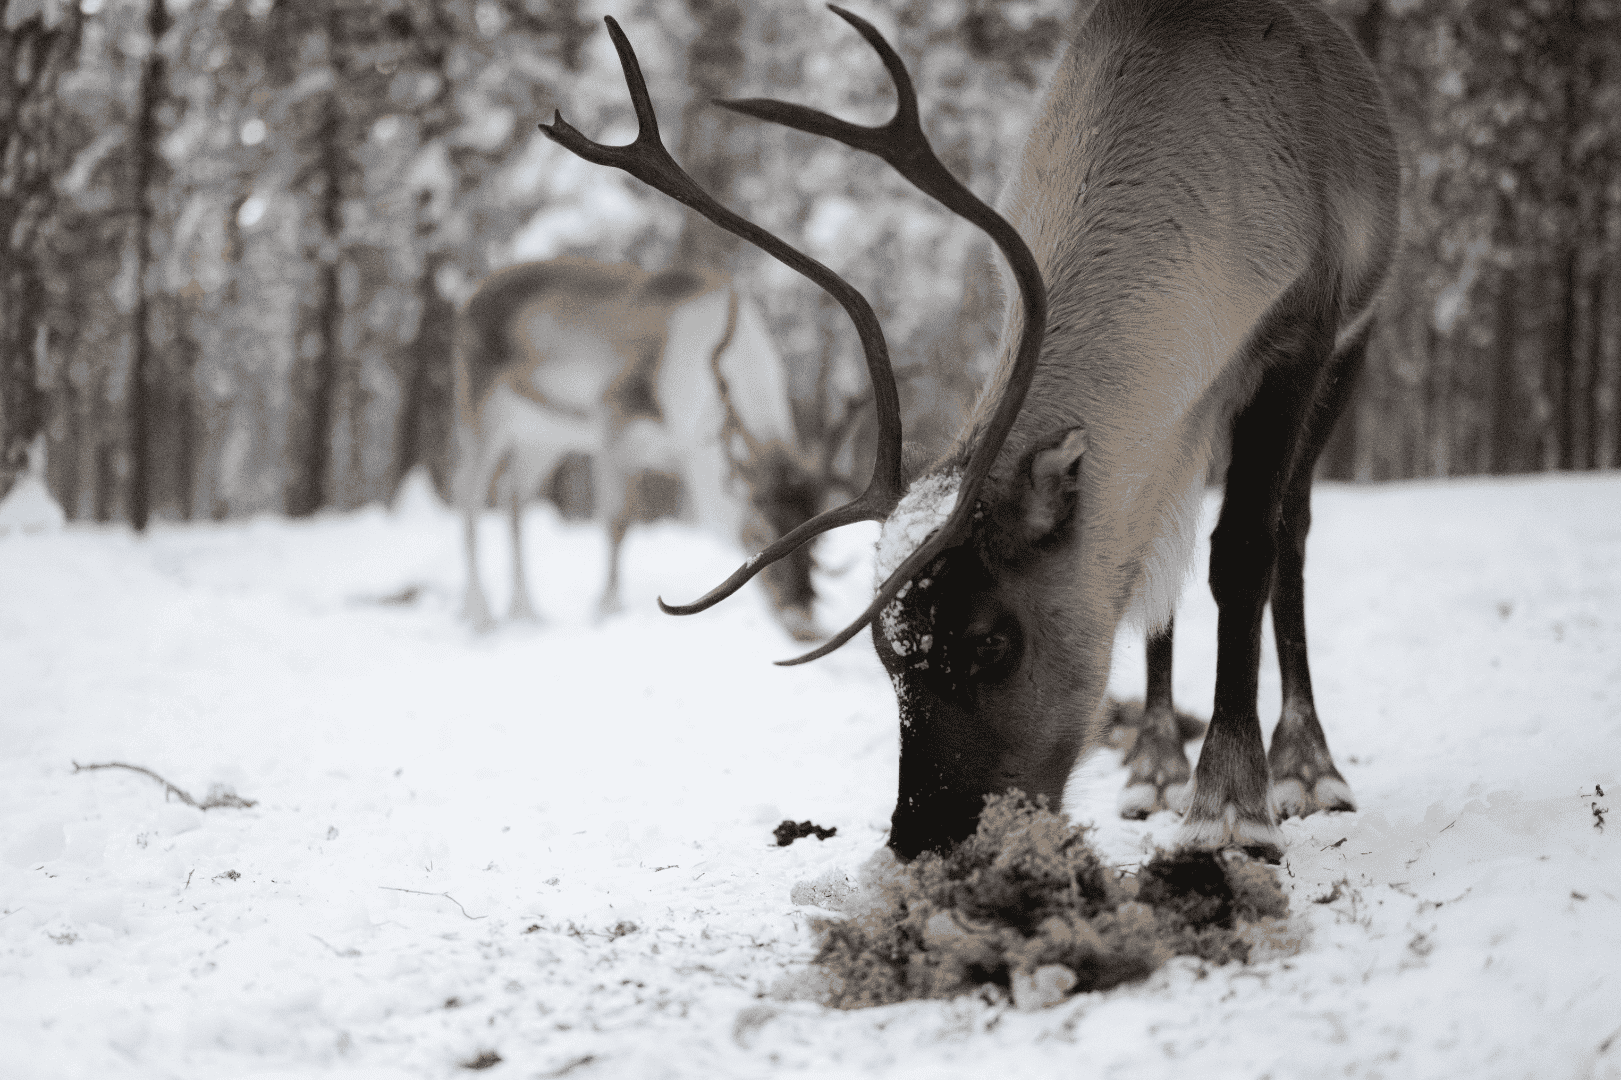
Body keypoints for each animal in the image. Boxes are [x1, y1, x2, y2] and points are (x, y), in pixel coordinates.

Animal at [452, 257, 862, 642]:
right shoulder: (611, 419)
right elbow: (616, 522)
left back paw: (525, 612)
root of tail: (471, 297)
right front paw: (606, 610)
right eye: (758, 533)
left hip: (543, 437)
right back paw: (479, 615)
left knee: (514, 497)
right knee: (470, 498)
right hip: (482, 410)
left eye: (819, 536)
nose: (804, 624)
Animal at [542, 0, 1398, 862]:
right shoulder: (1180, 412)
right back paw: (1154, 765)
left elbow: (1247, 550)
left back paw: (1306, 766)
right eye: (885, 652)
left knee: (1288, 529)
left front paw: (1230, 804)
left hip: (1344, 347)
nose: (923, 837)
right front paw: (1176, 775)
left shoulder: (1306, 331)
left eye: (991, 641)